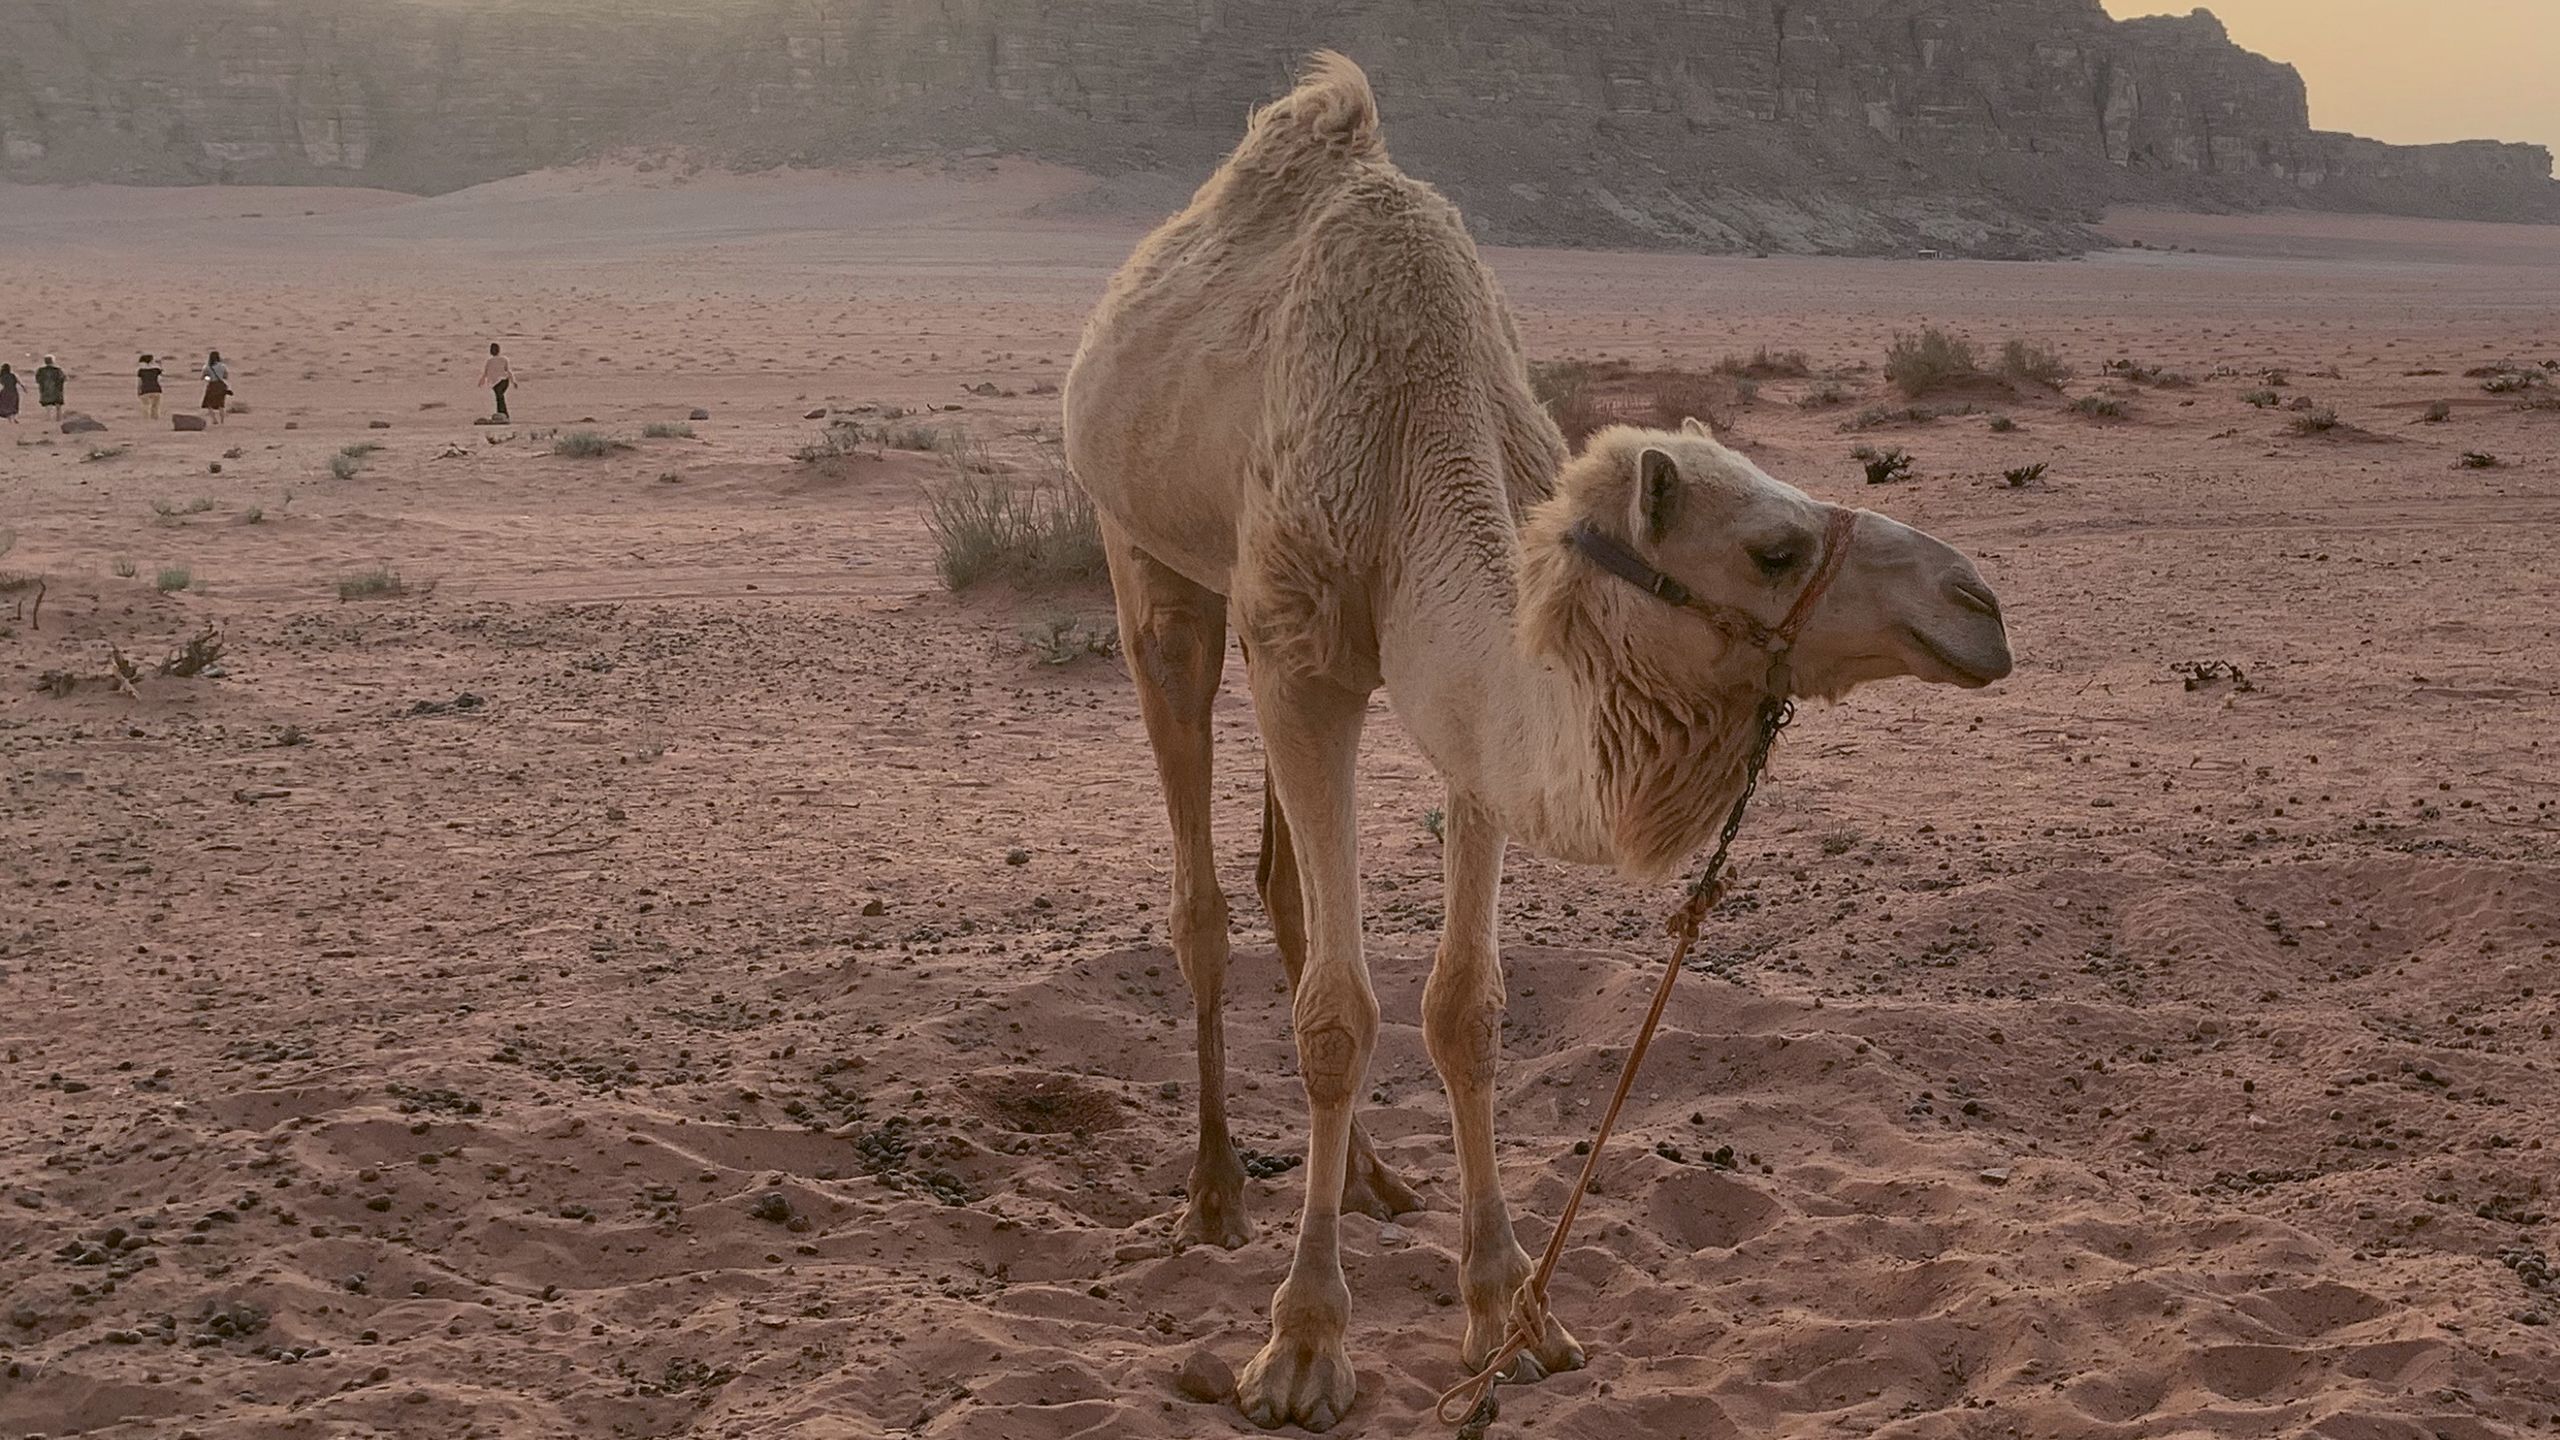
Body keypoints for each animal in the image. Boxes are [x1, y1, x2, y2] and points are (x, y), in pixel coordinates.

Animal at [1061, 54, 2013, 1431]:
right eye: (1773, 548)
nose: (1978, 607)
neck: (1408, 440)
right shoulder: (1301, 656)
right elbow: (1336, 1016)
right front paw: (1302, 1346)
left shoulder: (1474, 706)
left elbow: (1465, 1007)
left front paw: (1511, 1311)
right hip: (1146, 551)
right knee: (1200, 886)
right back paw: (1215, 1196)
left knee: (1280, 883)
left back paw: (1372, 1182)